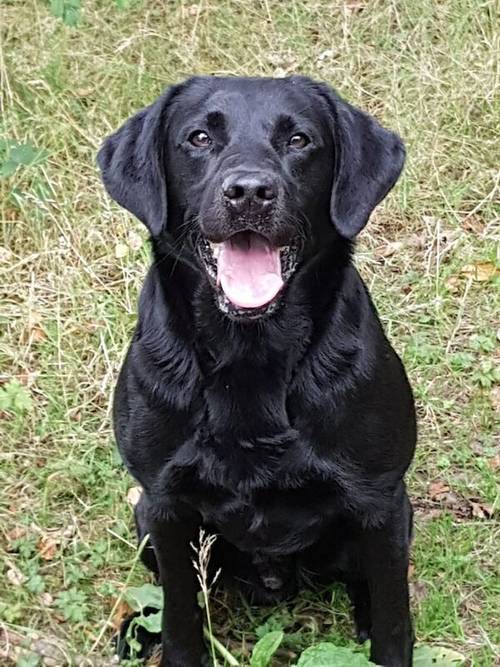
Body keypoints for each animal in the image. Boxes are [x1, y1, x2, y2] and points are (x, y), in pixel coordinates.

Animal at [96, 77, 414, 667]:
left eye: (299, 139)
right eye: (199, 138)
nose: (248, 192)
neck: (250, 355)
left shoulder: (379, 501)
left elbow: (392, 623)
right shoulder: (166, 506)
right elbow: (181, 619)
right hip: (144, 520)